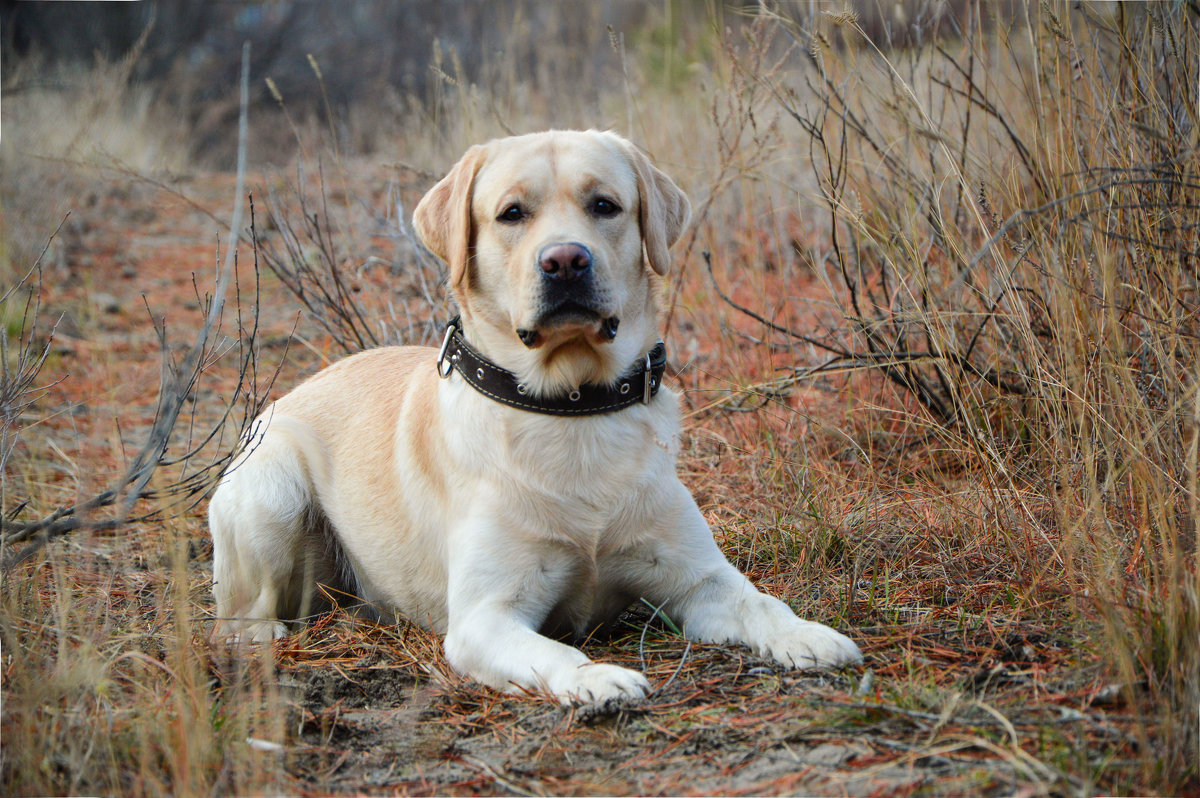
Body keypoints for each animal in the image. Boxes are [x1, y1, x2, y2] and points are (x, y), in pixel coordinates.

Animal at [208, 127, 864, 700]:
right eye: (511, 214)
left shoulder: (701, 581)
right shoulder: (485, 618)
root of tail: (283, 399)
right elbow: (557, 651)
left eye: (605, 205)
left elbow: (761, 602)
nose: (566, 260)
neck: (571, 410)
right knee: (238, 614)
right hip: (272, 493)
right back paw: (260, 637)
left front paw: (809, 636)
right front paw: (596, 678)